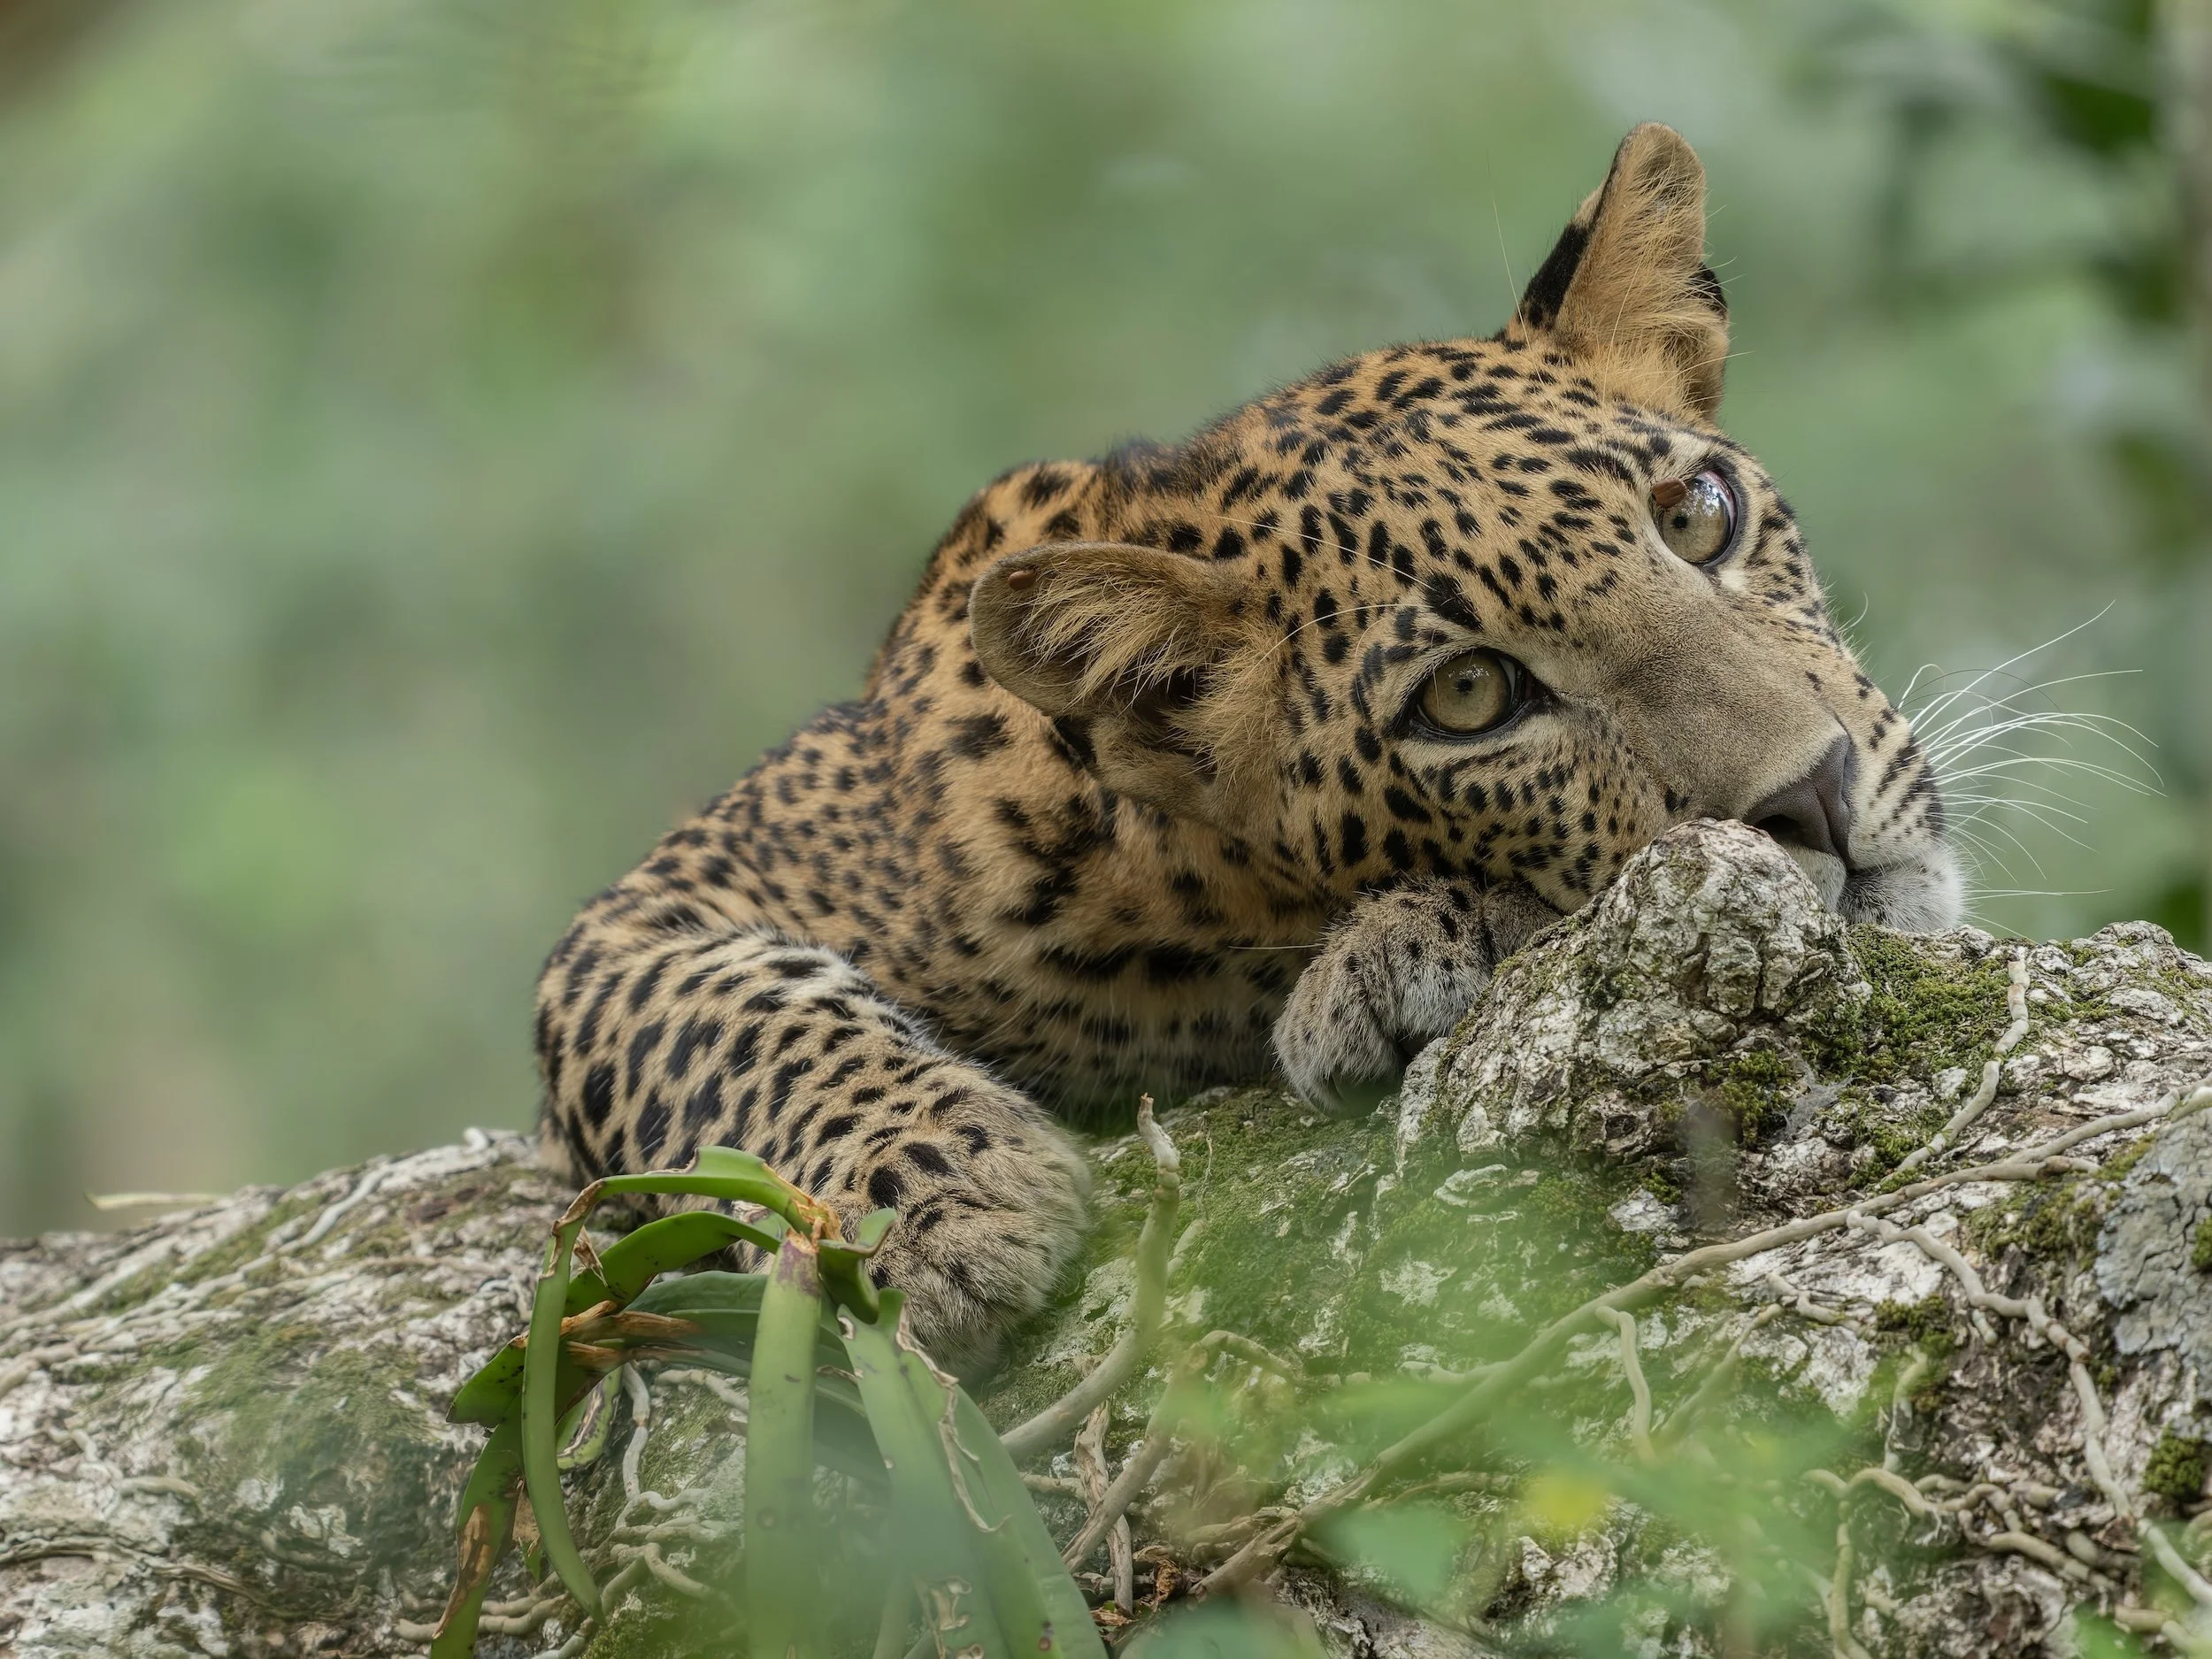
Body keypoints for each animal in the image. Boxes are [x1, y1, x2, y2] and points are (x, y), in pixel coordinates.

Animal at [534, 124, 1961, 1371]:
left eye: (1699, 513)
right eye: (1469, 696)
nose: (1817, 795)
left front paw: (1394, 958)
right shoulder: (640, 918)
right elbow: (719, 1018)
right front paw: (936, 1208)